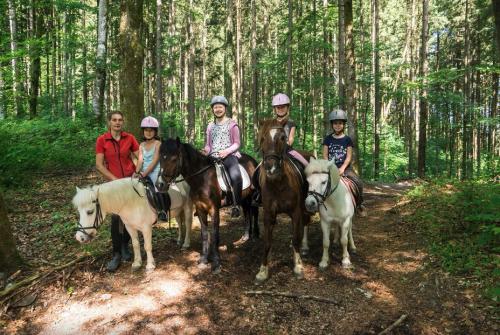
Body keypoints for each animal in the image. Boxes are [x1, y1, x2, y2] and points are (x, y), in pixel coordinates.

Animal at [157, 138, 260, 274]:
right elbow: (205, 234)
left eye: (174, 159)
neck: (202, 179)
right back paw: (246, 235)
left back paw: (256, 236)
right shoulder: (201, 209)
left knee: (255, 212)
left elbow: (215, 234)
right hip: (244, 198)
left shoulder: (214, 210)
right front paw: (204, 260)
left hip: (253, 195)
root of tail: (253, 160)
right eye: (160, 158)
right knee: (247, 212)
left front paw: (216, 263)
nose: (160, 185)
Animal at [254, 119, 312, 284]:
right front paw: (263, 271)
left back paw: (305, 247)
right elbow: (267, 242)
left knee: (305, 223)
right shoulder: (268, 214)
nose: (271, 168)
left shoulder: (295, 212)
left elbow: (296, 238)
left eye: (282, 138)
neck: (278, 183)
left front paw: (298, 267)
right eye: (262, 138)